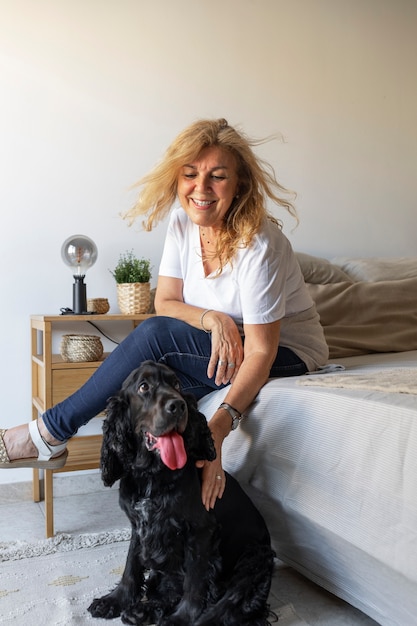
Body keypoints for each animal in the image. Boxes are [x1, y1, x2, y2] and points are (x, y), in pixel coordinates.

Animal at [88, 358, 274, 620]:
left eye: (176, 384)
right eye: (144, 387)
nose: (178, 406)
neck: (152, 474)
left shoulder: (201, 531)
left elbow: (195, 581)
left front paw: (183, 618)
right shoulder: (139, 526)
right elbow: (131, 566)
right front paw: (115, 600)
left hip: (254, 561)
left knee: (225, 607)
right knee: (165, 589)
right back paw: (142, 611)